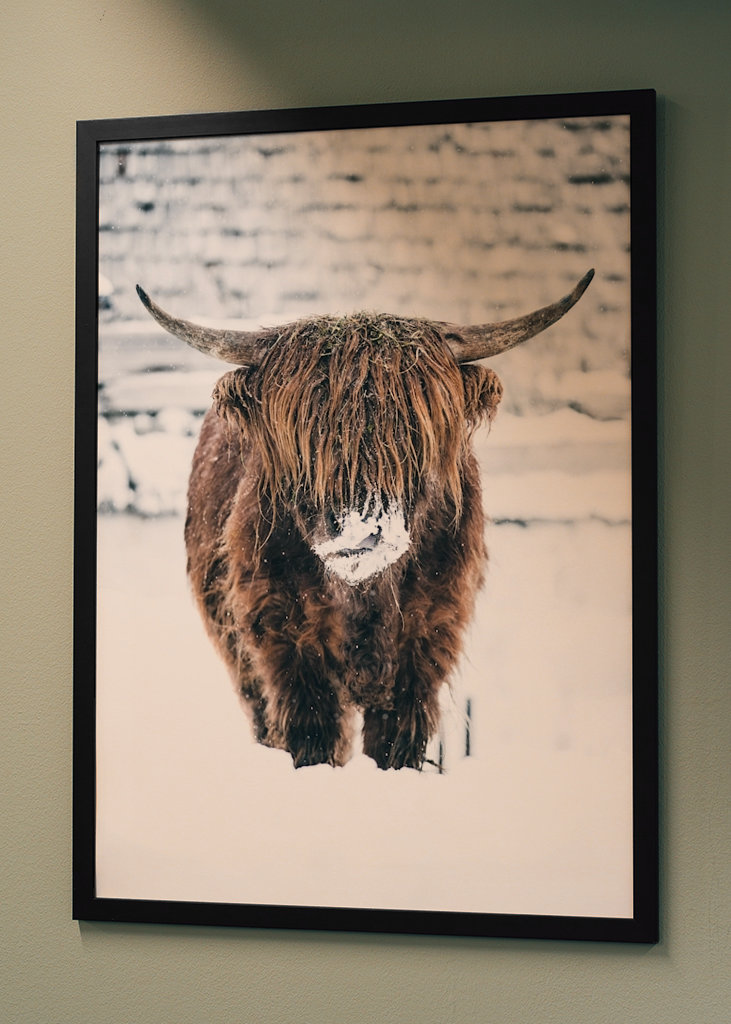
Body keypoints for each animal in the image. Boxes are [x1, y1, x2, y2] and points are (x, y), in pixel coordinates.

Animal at [137, 269, 594, 769]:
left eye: (413, 434)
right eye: (304, 440)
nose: (359, 534)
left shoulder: (428, 636)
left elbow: (397, 740)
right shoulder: (283, 637)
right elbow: (312, 734)